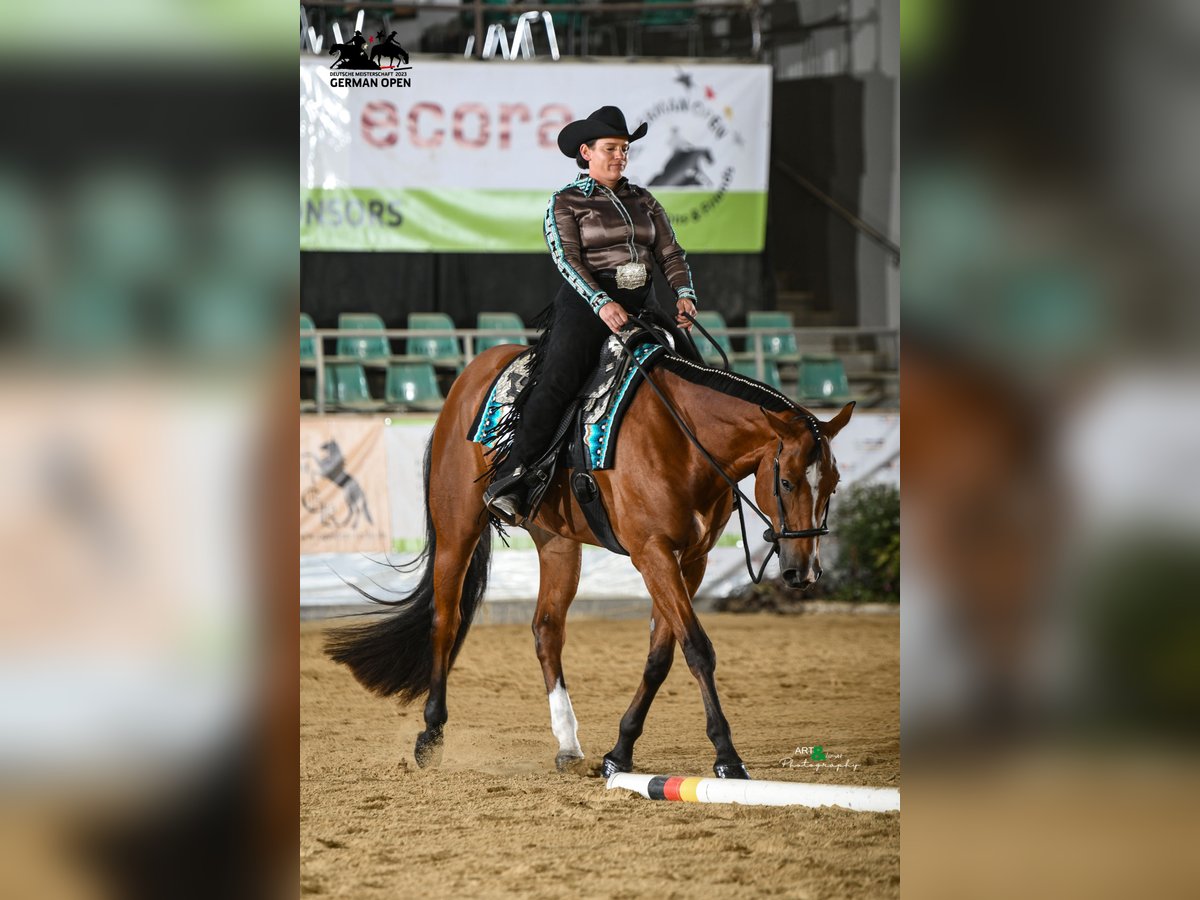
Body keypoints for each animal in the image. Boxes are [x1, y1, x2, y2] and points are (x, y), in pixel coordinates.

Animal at [328, 340, 854, 777]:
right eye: (786, 481)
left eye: (833, 483)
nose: (803, 571)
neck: (682, 439)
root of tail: (471, 376)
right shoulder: (653, 553)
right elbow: (697, 649)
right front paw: (727, 756)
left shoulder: (691, 560)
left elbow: (660, 656)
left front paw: (619, 752)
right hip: (458, 527)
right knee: (445, 620)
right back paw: (431, 735)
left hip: (557, 542)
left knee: (546, 629)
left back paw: (567, 743)